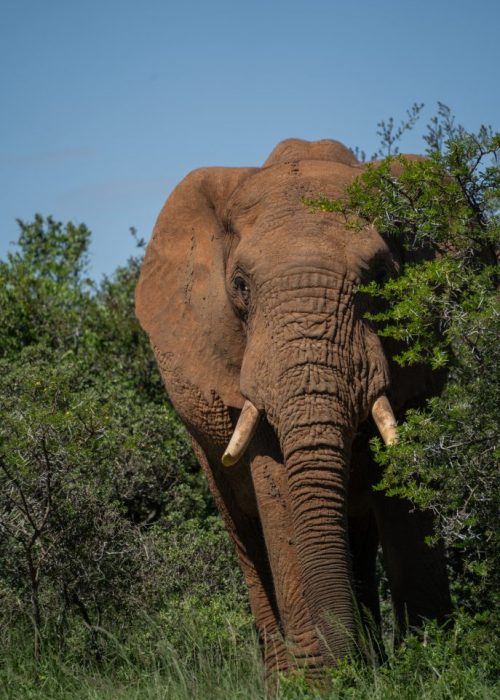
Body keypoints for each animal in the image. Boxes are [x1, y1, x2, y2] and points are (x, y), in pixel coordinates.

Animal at [135, 138, 452, 676]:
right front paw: (322, 680)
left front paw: (427, 665)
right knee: (246, 537)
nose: (348, 666)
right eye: (240, 286)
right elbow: (277, 489)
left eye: (382, 276)